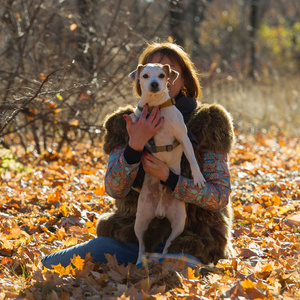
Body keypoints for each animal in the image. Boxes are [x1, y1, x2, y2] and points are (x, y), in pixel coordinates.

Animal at [127, 63, 205, 264]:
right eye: (145, 76)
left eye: (162, 75)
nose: (154, 84)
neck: (156, 106)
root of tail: (160, 211)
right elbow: (134, 121)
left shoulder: (184, 138)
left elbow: (192, 159)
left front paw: (198, 177)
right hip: (140, 221)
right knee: (141, 245)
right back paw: (140, 261)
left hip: (179, 223)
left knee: (168, 244)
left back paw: (164, 257)